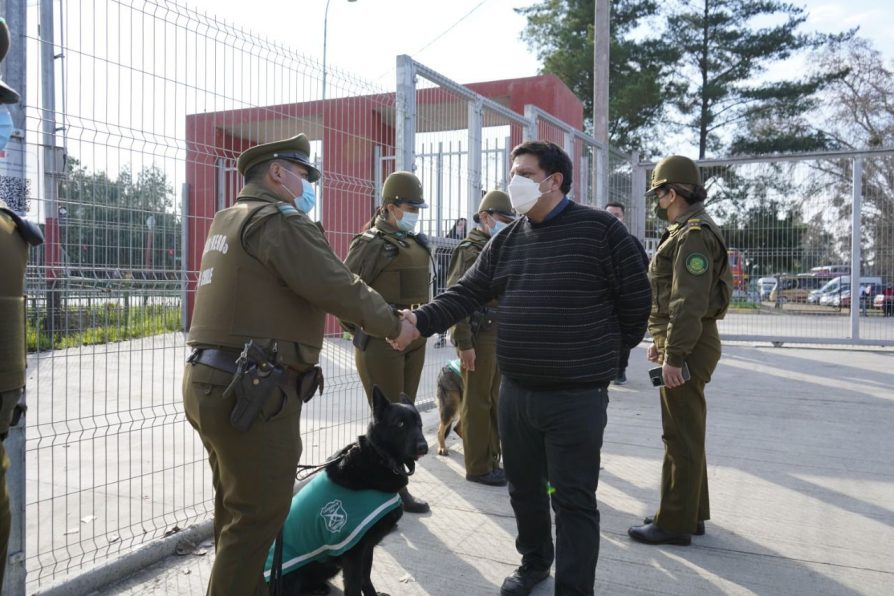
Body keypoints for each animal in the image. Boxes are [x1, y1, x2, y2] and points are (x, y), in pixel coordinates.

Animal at [276, 386, 430, 596]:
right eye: (400, 424)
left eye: (419, 424)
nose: (424, 447)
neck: (378, 458)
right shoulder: (353, 553)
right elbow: (355, 585)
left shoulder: (368, 547)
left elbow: (366, 578)